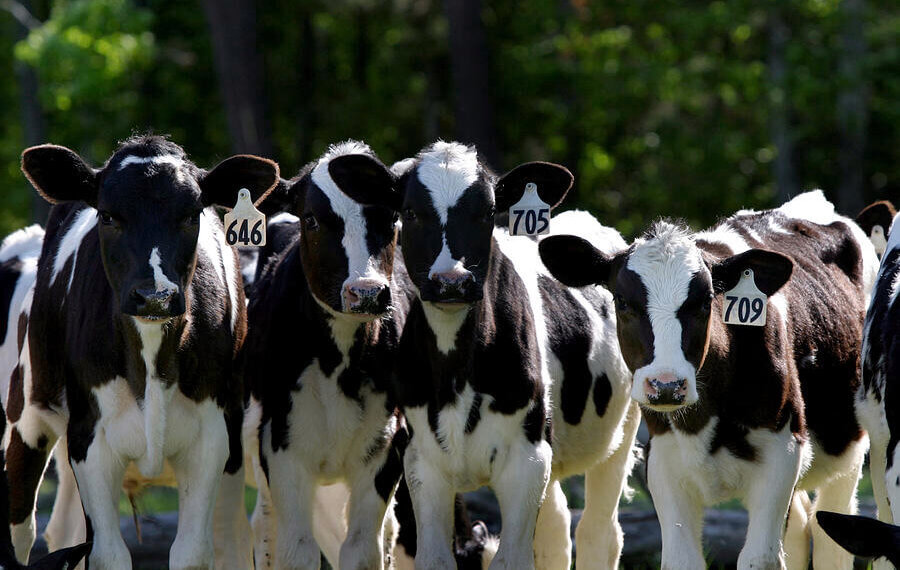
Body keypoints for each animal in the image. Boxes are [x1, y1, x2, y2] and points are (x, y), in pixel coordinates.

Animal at [8, 135, 279, 570]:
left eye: (191, 215)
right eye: (108, 216)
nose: (155, 295)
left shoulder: (212, 440)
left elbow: (192, 552)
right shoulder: (90, 441)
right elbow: (107, 554)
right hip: (26, 415)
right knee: (23, 529)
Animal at [242, 140, 411, 570]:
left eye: (392, 218)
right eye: (313, 220)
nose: (366, 291)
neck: (339, 365)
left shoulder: (385, 449)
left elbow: (361, 549)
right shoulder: (281, 447)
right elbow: (297, 550)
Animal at [391, 141, 639, 570]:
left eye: (487, 212)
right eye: (410, 212)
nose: (451, 281)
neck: (457, 375)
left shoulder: (526, 461)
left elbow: (513, 559)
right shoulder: (422, 463)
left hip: (620, 429)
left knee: (598, 533)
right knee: (556, 527)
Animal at [539, 190, 877, 569]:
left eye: (704, 302)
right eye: (622, 302)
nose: (667, 385)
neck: (707, 417)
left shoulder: (783, 452)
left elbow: (759, 558)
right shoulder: (664, 460)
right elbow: (682, 559)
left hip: (849, 445)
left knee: (832, 530)